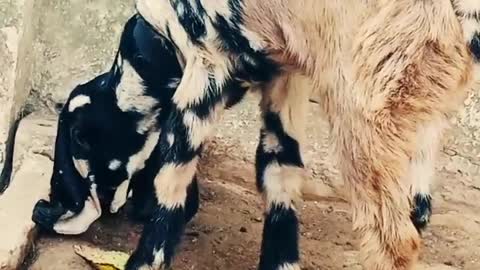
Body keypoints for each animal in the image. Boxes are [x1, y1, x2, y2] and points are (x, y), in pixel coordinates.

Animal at [115, 0, 480, 268]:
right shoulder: (286, 81)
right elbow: (280, 185)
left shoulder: (204, 73)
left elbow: (171, 180)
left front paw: (144, 260)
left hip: (362, 122)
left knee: (394, 243)